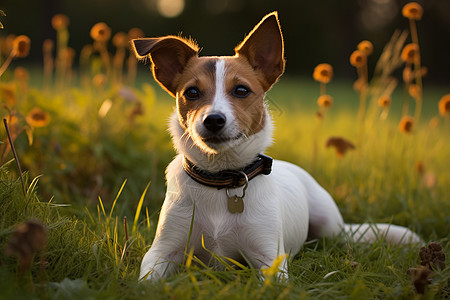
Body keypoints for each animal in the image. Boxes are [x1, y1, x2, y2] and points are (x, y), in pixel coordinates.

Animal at [131, 9, 422, 282]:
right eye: (191, 92)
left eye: (241, 90)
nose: (213, 120)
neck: (222, 180)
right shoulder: (161, 252)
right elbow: (148, 280)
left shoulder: (268, 257)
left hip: (329, 224)